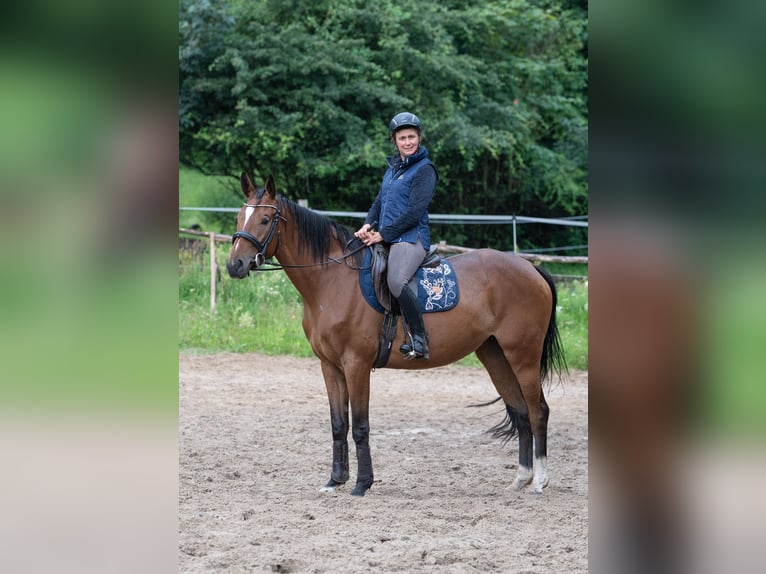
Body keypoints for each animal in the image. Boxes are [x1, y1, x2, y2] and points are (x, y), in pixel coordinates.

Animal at [226, 173, 566, 497]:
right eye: (240, 217)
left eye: (265, 220)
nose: (234, 265)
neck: (333, 280)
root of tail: (530, 268)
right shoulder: (330, 366)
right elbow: (338, 424)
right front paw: (335, 480)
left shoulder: (356, 364)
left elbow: (360, 426)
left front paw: (362, 484)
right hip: (495, 355)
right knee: (521, 413)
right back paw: (521, 479)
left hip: (523, 357)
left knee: (538, 412)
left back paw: (540, 482)